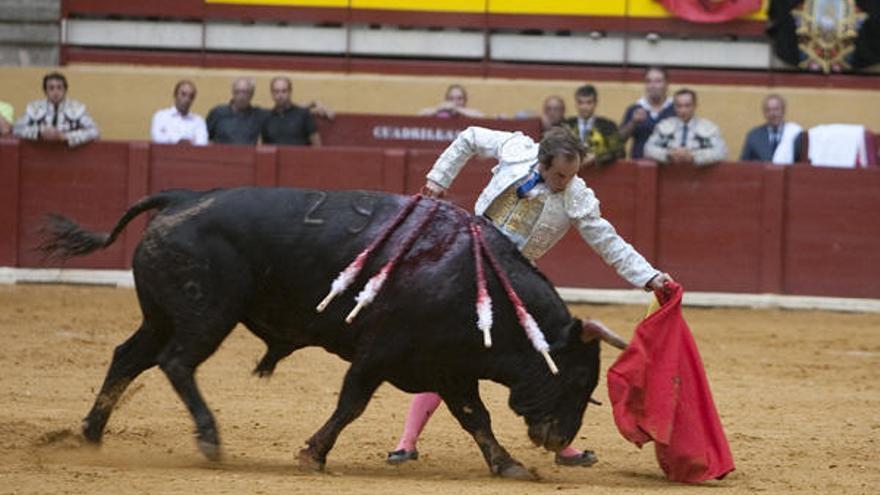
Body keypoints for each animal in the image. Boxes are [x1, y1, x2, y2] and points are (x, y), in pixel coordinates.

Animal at [39, 186, 620, 480]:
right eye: (577, 381)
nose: (561, 439)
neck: (481, 285)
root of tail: (177, 199)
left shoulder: (447, 369)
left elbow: (475, 418)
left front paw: (509, 465)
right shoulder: (378, 353)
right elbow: (351, 404)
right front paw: (312, 454)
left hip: (161, 314)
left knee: (128, 357)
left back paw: (90, 434)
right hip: (208, 314)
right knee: (176, 362)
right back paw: (209, 438)